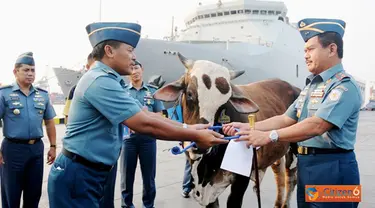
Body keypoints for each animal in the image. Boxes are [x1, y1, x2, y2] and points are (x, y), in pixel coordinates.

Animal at [153, 52, 300, 207]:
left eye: (224, 104)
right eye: (190, 94)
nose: (201, 145)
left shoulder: (241, 181)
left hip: (294, 150)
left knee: (291, 178)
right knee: (279, 173)